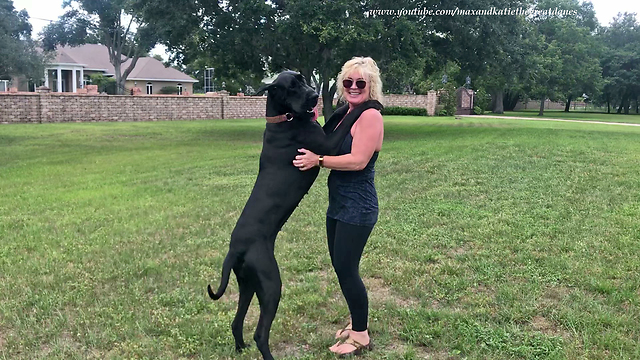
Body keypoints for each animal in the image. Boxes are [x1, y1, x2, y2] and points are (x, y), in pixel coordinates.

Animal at [208, 70, 382, 360]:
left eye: (302, 79)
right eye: (291, 87)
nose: (313, 95)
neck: (283, 119)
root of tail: (235, 248)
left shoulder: (321, 131)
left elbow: (333, 117)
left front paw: (343, 105)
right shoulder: (327, 144)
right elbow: (347, 121)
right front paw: (370, 104)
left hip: (247, 283)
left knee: (237, 320)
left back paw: (240, 347)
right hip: (270, 284)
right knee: (260, 334)